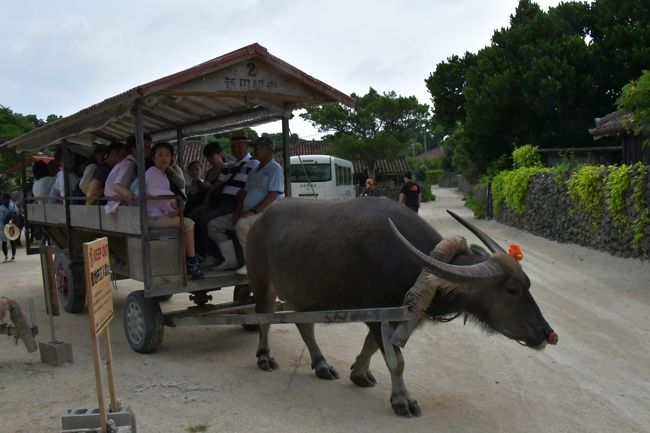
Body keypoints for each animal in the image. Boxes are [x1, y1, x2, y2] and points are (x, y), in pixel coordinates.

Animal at [246, 197, 556, 416]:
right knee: (265, 319)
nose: (547, 334)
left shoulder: (388, 317)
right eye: (512, 290)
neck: (419, 271)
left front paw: (359, 373)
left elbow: (372, 346)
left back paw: (322, 365)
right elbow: (397, 361)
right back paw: (264, 357)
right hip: (262, 283)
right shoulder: (377, 315)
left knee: (304, 325)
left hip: (303, 295)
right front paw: (402, 400)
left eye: (528, 284)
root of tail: (258, 222)